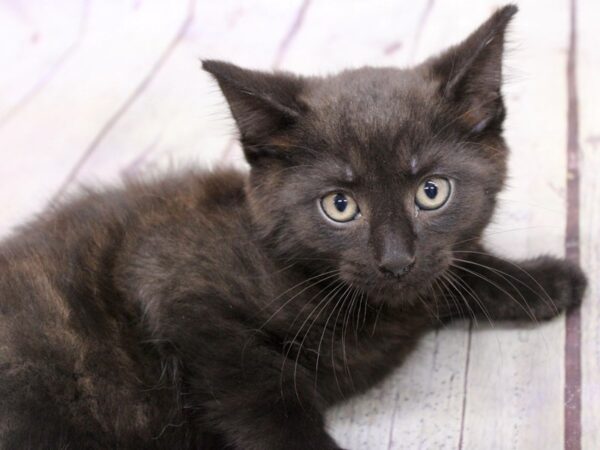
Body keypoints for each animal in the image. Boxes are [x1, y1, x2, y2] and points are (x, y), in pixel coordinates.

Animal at [0, 4, 584, 450]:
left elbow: (454, 270)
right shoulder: (174, 286)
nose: (395, 260)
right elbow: (268, 402)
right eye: (340, 206)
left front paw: (544, 280)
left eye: (431, 191)